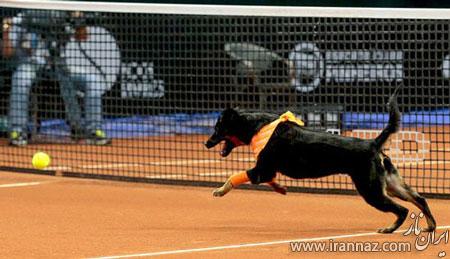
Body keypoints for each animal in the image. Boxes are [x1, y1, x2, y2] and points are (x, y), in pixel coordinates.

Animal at [205, 94, 436, 235]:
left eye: (217, 128)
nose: (206, 143)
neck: (258, 125)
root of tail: (373, 143)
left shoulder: (261, 169)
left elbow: (233, 177)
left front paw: (220, 190)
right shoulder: (266, 170)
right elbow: (271, 180)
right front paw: (280, 188)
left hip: (371, 190)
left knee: (402, 210)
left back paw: (390, 228)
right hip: (391, 184)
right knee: (419, 199)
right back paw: (431, 226)